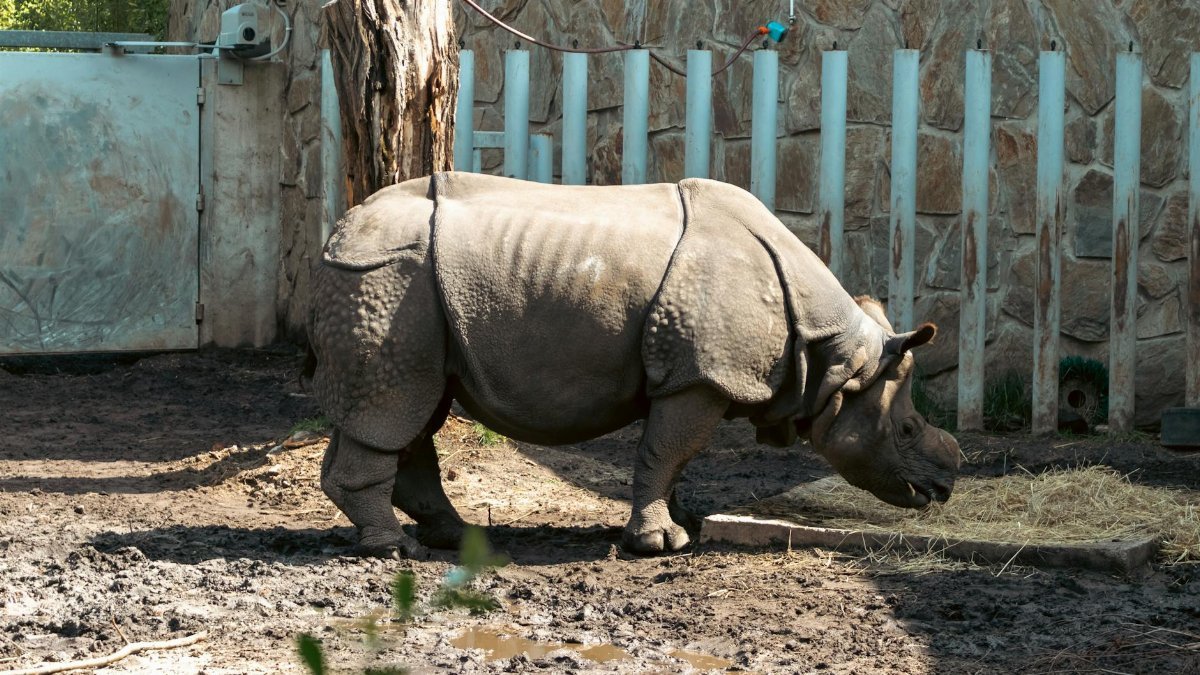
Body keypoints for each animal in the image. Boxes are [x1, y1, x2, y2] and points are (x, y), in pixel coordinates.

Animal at [306, 172, 960, 557]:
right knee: (397, 403)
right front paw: (662, 544)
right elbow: (668, 449)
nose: (945, 487)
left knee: (412, 409)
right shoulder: (702, 376)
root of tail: (337, 232)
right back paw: (394, 550)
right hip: (388, 280)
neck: (835, 359)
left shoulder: (696, 374)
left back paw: (457, 539)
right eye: (905, 430)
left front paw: (683, 522)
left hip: (410, 291)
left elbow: (672, 457)